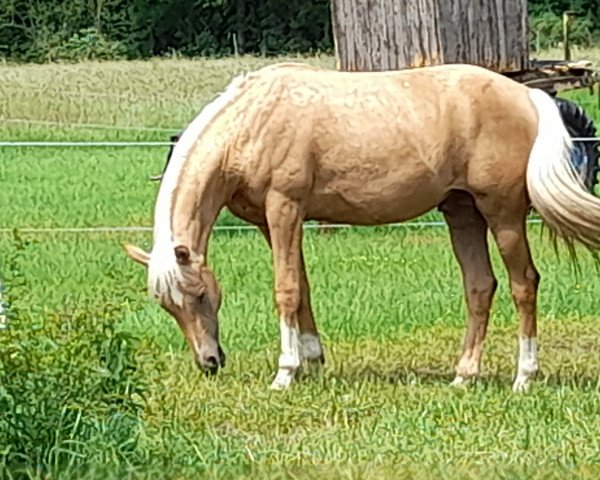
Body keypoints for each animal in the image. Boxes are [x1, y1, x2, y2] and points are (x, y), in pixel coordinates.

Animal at [124, 62, 600, 390]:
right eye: (168, 306)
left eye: (201, 295)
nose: (209, 362)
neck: (253, 121)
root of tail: (528, 96)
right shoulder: (271, 221)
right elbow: (302, 287)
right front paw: (313, 361)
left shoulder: (284, 209)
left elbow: (286, 289)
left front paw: (285, 372)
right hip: (462, 213)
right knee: (480, 287)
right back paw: (464, 376)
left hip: (502, 215)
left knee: (524, 284)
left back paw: (524, 376)